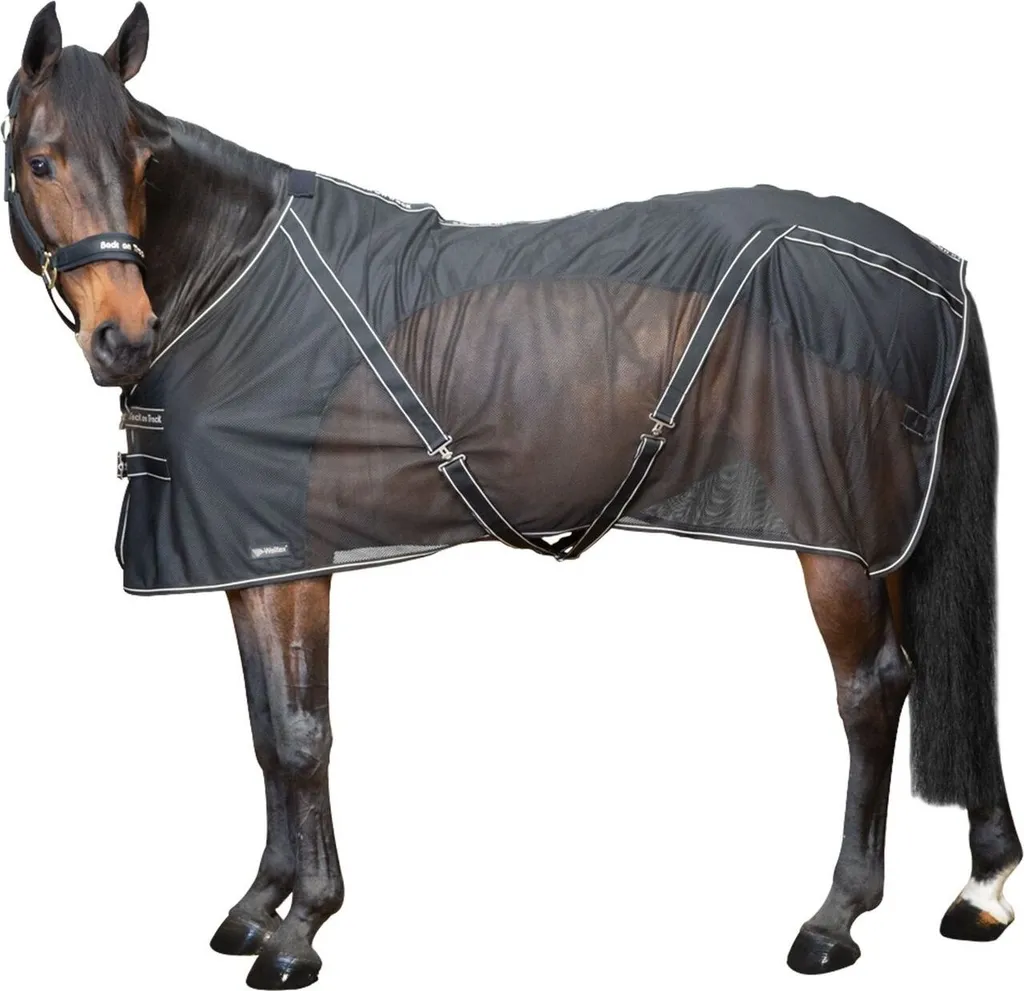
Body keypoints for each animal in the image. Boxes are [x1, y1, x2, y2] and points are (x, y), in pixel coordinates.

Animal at [5, 3, 1020, 988]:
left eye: (143, 160)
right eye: (40, 160)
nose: (125, 337)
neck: (240, 278)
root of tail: (937, 269)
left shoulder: (295, 563)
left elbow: (302, 735)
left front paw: (302, 929)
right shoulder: (250, 565)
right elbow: (263, 732)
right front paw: (257, 905)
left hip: (833, 541)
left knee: (871, 689)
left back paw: (835, 917)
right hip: (884, 533)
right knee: (931, 670)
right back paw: (983, 887)